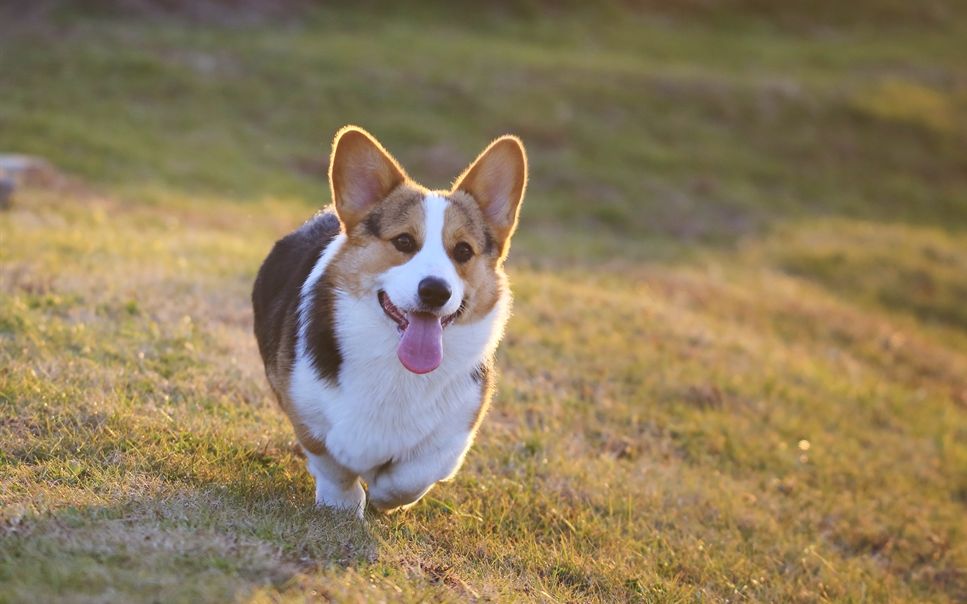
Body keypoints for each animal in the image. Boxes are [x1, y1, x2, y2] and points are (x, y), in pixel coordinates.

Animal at [253, 125, 524, 516]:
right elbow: (334, 464)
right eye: (404, 242)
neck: (398, 370)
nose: (435, 291)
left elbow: (414, 474)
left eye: (463, 251)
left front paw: (385, 496)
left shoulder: (455, 433)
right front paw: (343, 505)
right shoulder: (306, 415)